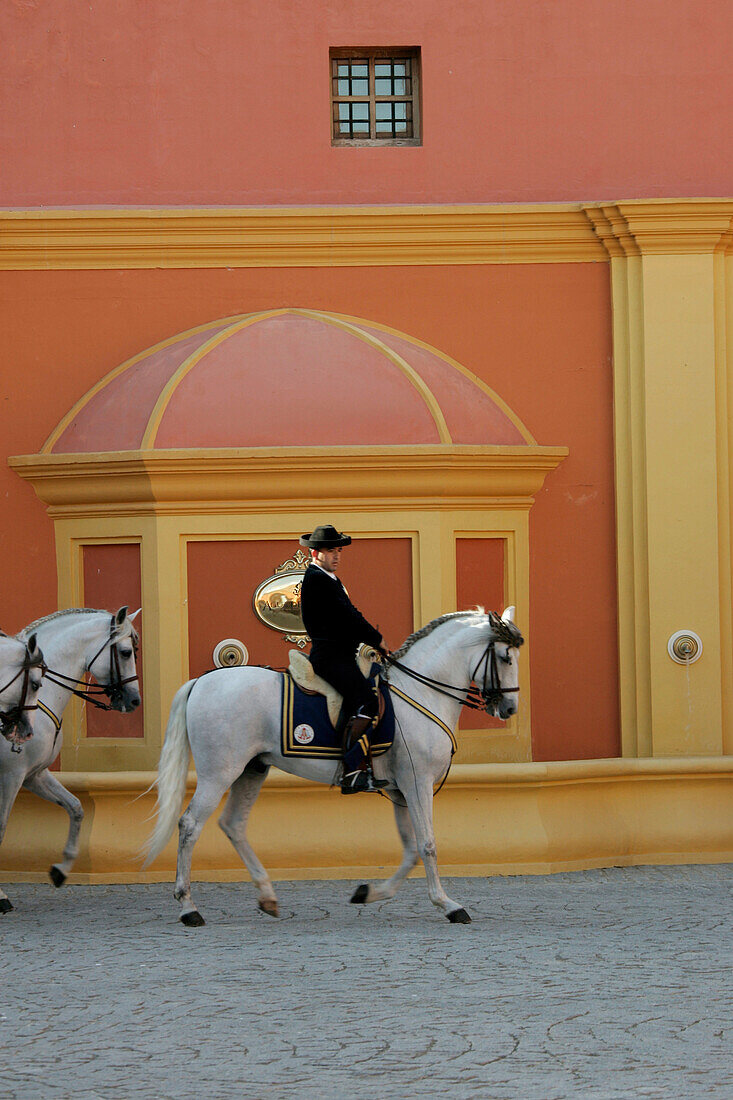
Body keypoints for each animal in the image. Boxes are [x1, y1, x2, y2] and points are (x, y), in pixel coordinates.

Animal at [0, 607, 140, 915]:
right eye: (126, 652)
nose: (135, 701)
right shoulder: (11, 777)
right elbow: (1, 829)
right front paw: (0, 896)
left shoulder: (34, 775)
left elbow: (75, 807)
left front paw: (61, 870)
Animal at [144, 607, 519, 924]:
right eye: (504, 656)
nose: (510, 708)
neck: (419, 691)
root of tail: (202, 681)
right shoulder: (417, 783)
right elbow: (428, 845)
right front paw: (448, 904)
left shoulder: (400, 790)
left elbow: (412, 849)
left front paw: (369, 893)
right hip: (219, 773)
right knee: (190, 825)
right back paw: (188, 907)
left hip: (251, 769)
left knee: (233, 824)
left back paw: (267, 896)